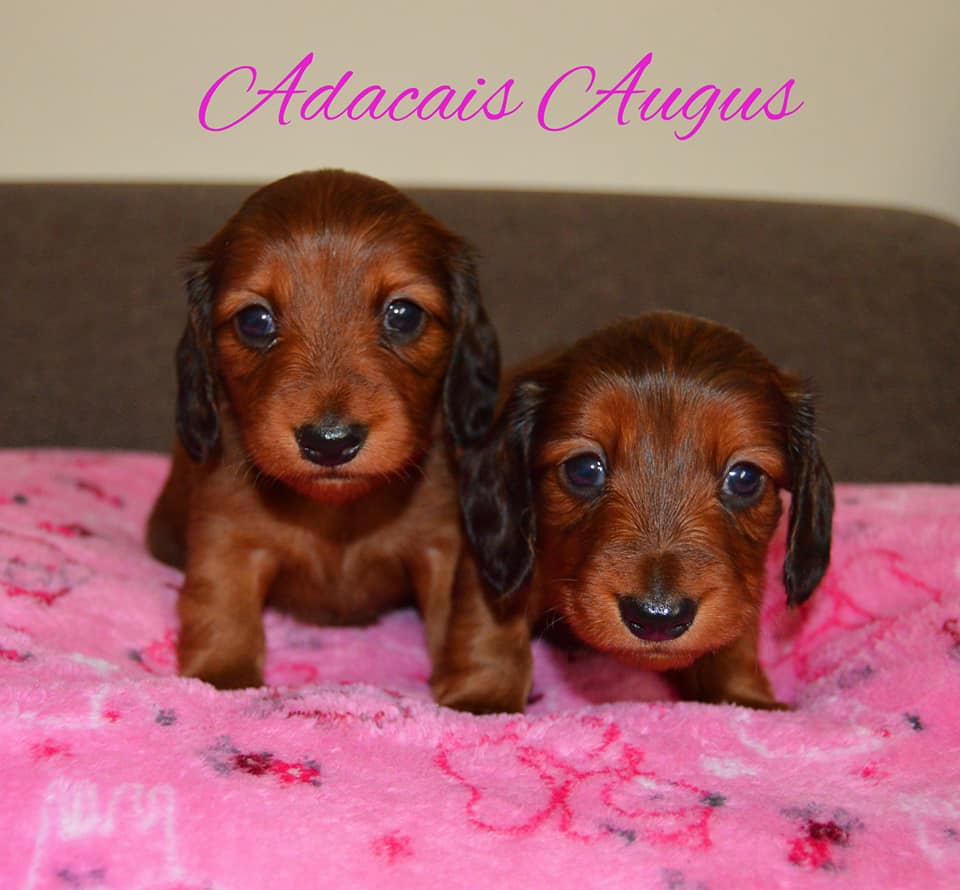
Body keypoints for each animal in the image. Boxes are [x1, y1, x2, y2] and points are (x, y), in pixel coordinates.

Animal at [147, 169, 499, 690]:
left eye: (404, 314)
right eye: (255, 320)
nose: (330, 443)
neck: (338, 512)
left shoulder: (442, 544)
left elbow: (457, 619)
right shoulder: (228, 536)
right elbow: (221, 612)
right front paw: (220, 681)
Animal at [431, 312, 834, 713]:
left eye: (745, 477)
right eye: (583, 469)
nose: (656, 618)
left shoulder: (743, 584)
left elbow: (735, 638)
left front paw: (744, 697)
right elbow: (490, 623)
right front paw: (485, 698)